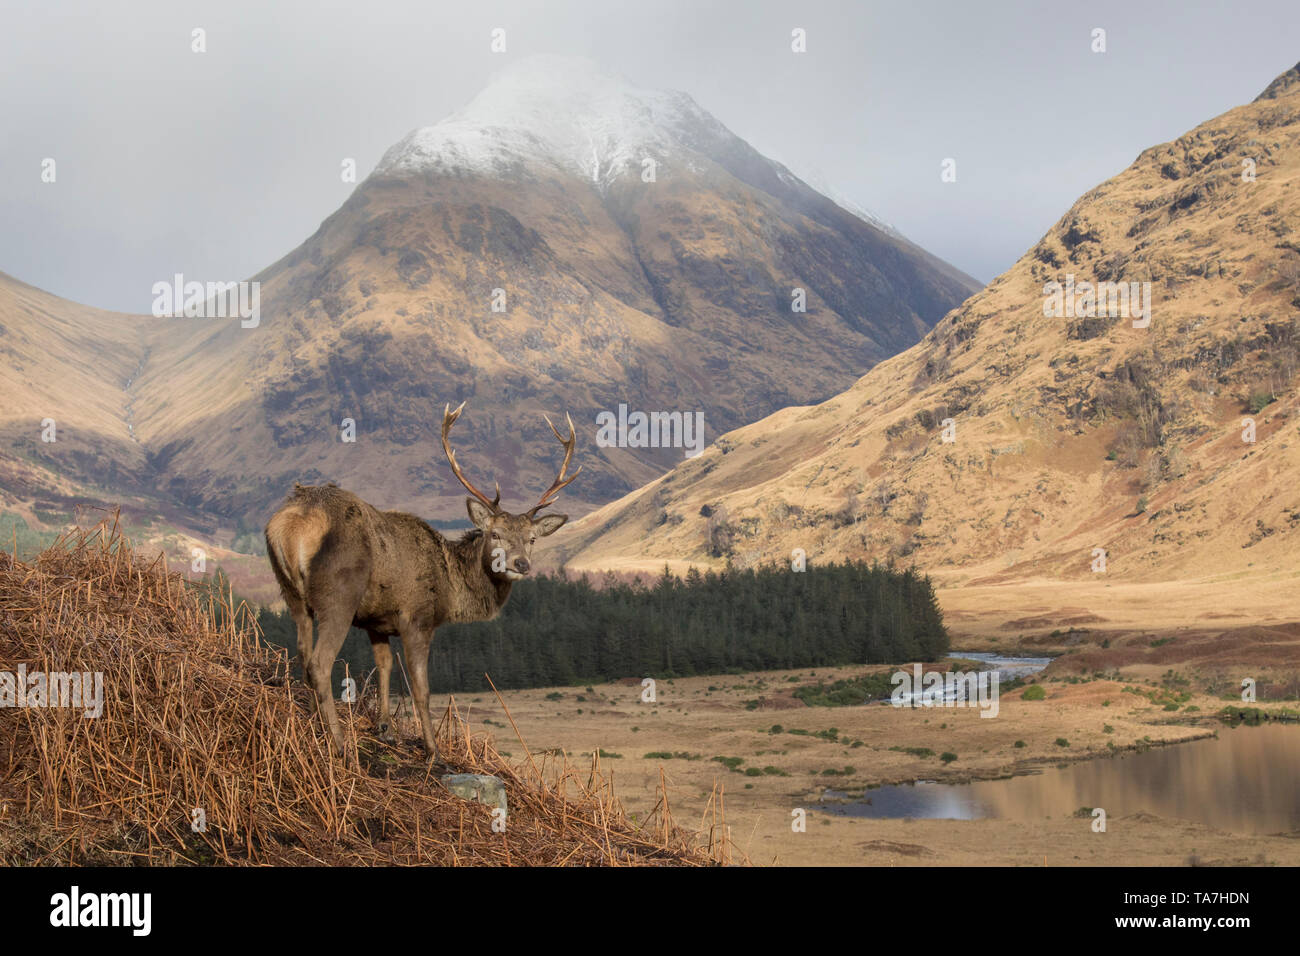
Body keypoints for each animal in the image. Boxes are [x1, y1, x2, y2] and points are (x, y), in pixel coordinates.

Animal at [263, 403, 579, 764]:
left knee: (302, 653)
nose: (520, 564)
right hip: (339, 593)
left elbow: (384, 665)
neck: (451, 584)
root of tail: (293, 523)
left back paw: (316, 724)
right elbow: (421, 688)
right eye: (495, 534)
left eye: (532, 539)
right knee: (319, 662)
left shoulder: (377, 620)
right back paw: (340, 745)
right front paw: (433, 750)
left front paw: (385, 727)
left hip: (292, 594)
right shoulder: (418, 617)